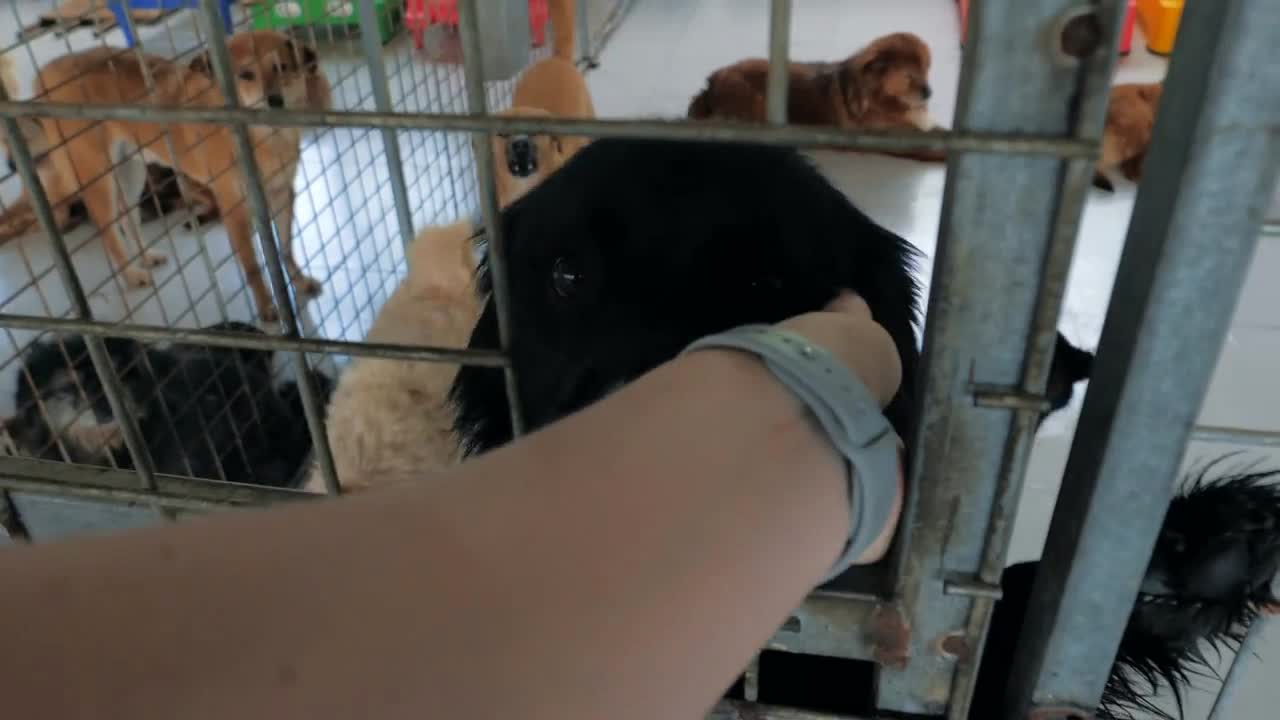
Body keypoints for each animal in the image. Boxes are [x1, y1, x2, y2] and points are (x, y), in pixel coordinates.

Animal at [26, 32, 325, 319]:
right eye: (245, 74)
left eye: (282, 67)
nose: (275, 101)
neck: (266, 138)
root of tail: (44, 71)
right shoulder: (234, 208)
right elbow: (252, 266)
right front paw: (267, 309)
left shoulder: (282, 194)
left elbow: (286, 248)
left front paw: (299, 282)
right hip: (99, 180)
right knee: (108, 230)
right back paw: (132, 275)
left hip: (131, 171)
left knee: (128, 218)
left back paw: (147, 257)